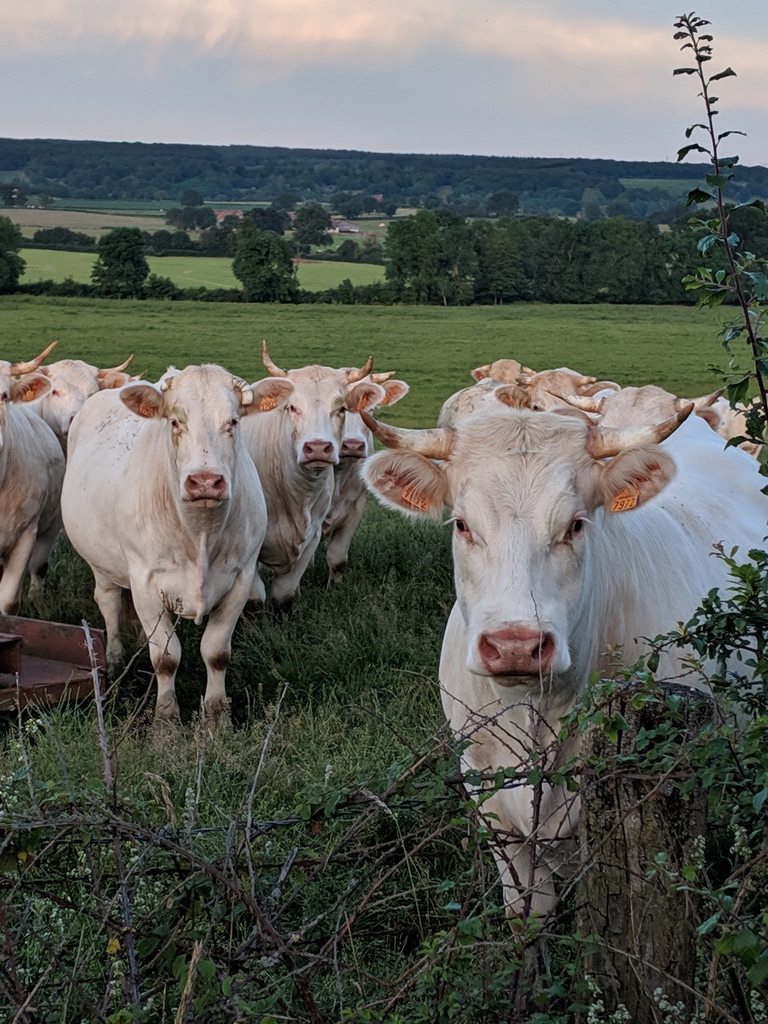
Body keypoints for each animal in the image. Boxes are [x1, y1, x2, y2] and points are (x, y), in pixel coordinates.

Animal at [61, 364, 294, 727]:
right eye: (174, 422)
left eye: (233, 421)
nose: (205, 481)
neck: (200, 534)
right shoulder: (145, 580)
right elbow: (166, 657)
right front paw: (166, 720)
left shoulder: (241, 578)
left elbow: (216, 653)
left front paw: (217, 718)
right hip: (101, 562)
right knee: (109, 603)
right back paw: (114, 659)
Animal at [242, 343, 386, 610]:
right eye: (292, 407)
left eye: (341, 408)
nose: (318, 447)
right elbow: (254, 597)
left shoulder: (322, 529)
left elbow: (287, 593)